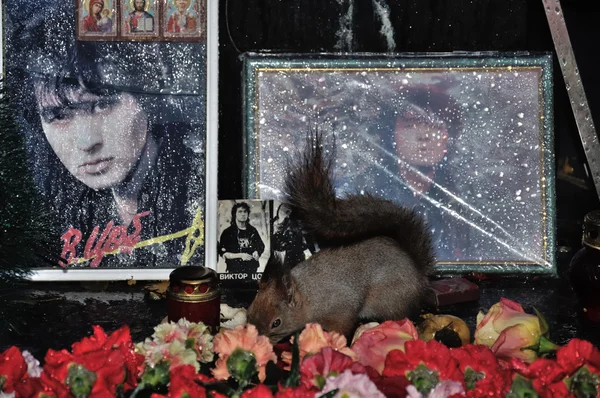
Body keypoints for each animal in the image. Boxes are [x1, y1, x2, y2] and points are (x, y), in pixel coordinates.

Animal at [245, 132, 436, 344]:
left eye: (276, 323)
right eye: (249, 311)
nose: (255, 339)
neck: (308, 295)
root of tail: (419, 272)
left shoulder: (340, 309)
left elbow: (343, 325)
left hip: (390, 301)